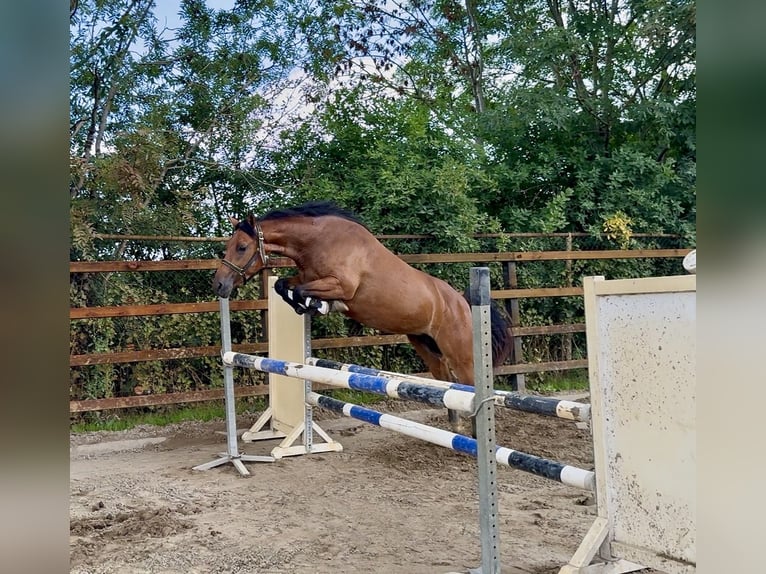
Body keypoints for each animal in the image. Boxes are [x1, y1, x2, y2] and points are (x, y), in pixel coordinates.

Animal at [212, 201, 513, 433]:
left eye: (241, 247)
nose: (219, 285)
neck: (318, 241)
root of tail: (461, 301)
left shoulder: (340, 285)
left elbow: (300, 290)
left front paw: (319, 306)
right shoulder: (307, 277)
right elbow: (284, 286)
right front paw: (307, 306)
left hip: (458, 349)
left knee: (469, 384)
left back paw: (475, 435)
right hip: (423, 341)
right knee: (444, 378)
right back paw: (454, 426)